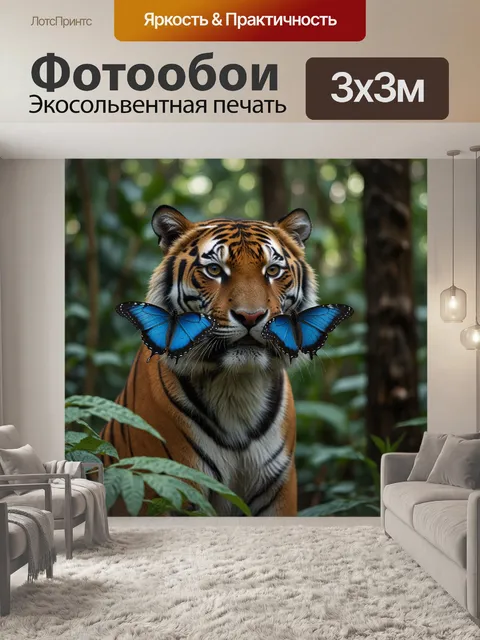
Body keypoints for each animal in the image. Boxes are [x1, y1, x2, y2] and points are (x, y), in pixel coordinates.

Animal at [101, 204, 317, 516]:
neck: (237, 386)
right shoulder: (167, 487)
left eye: (273, 270)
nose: (250, 316)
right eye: (214, 270)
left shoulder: (279, 488)